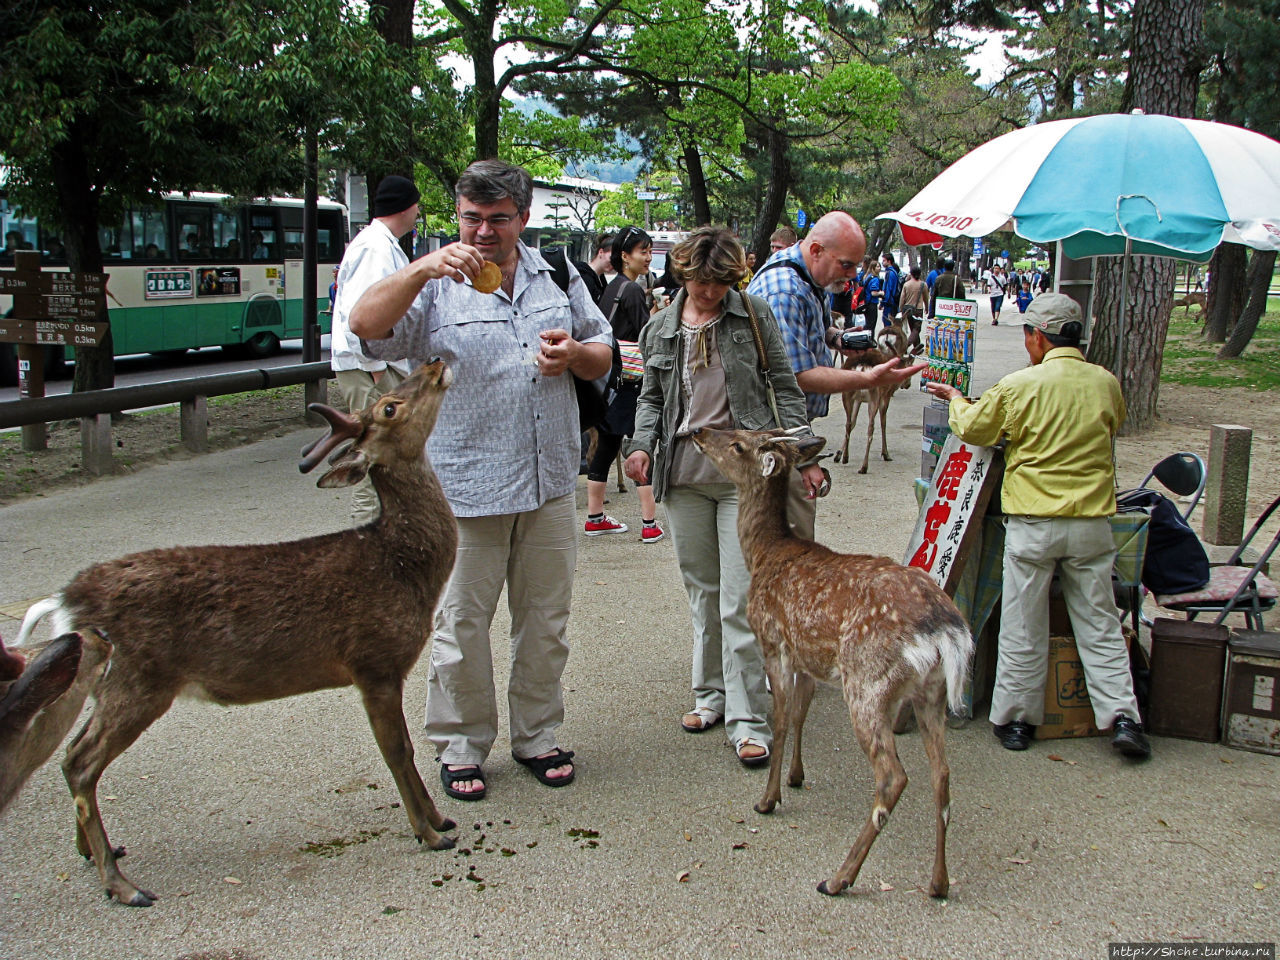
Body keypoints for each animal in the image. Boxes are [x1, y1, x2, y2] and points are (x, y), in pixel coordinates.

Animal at [13, 360, 460, 911]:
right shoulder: (373, 661)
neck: (401, 569)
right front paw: (430, 831)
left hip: (108, 682)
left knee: (73, 754)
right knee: (79, 761)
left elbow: (406, 750)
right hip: (139, 680)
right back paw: (122, 885)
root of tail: (67, 601)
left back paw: (97, 852)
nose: (435, 364)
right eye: (389, 407)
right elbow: (398, 750)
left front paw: (440, 819)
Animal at [696, 430, 972, 901]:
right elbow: (801, 713)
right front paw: (796, 777)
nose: (696, 432)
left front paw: (767, 799)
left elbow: (782, 721)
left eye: (738, 443)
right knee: (942, 775)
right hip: (930, 693)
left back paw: (839, 877)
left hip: (868, 683)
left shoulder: (774, 641)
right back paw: (938, 883)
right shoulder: (810, 657)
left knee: (893, 776)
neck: (764, 554)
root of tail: (944, 630)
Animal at [834, 321, 916, 476]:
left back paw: (846, 458)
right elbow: (883, 422)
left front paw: (839, 454)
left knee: (848, 423)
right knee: (871, 427)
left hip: (847, 394)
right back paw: (864, 466)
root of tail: (861, 367)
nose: (907, 385)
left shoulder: (858, 400)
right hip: (874, 395)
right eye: (909, 370)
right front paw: (886, 453)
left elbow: (853, 423)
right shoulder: (885, 396)